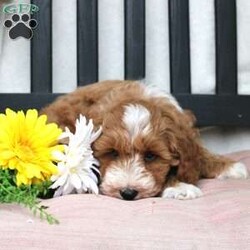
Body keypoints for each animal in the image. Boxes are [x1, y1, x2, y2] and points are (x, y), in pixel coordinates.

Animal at [40, 81, 248, 200]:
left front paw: (227, 166)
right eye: (113, 153)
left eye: (150, 156)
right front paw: (180, 187)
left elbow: (198, 153)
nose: (128, 193)